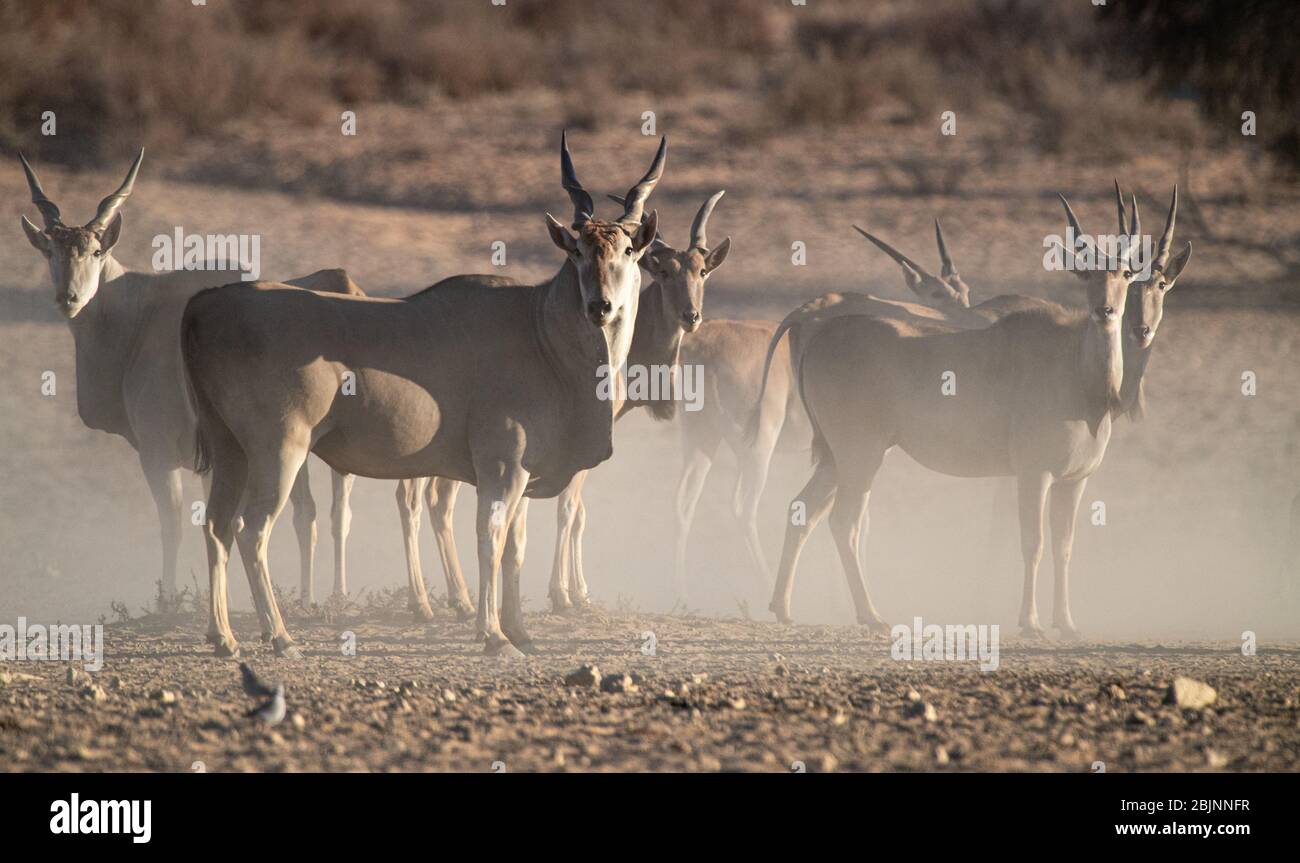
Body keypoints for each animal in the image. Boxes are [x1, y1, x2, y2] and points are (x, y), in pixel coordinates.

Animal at [182, 131, 665, 655]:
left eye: (628, 252)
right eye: (576, 252)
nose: (600, 306)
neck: (541, 331)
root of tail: (204, 305)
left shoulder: (524, 473)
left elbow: (515, 548)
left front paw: (520, 631)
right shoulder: (502, 469)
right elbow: (490, 538)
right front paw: (493, 635)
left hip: (231, 451)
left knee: (216, 526)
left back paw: (223, 636)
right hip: (279, 450)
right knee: (251, 530)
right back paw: (280, 636)